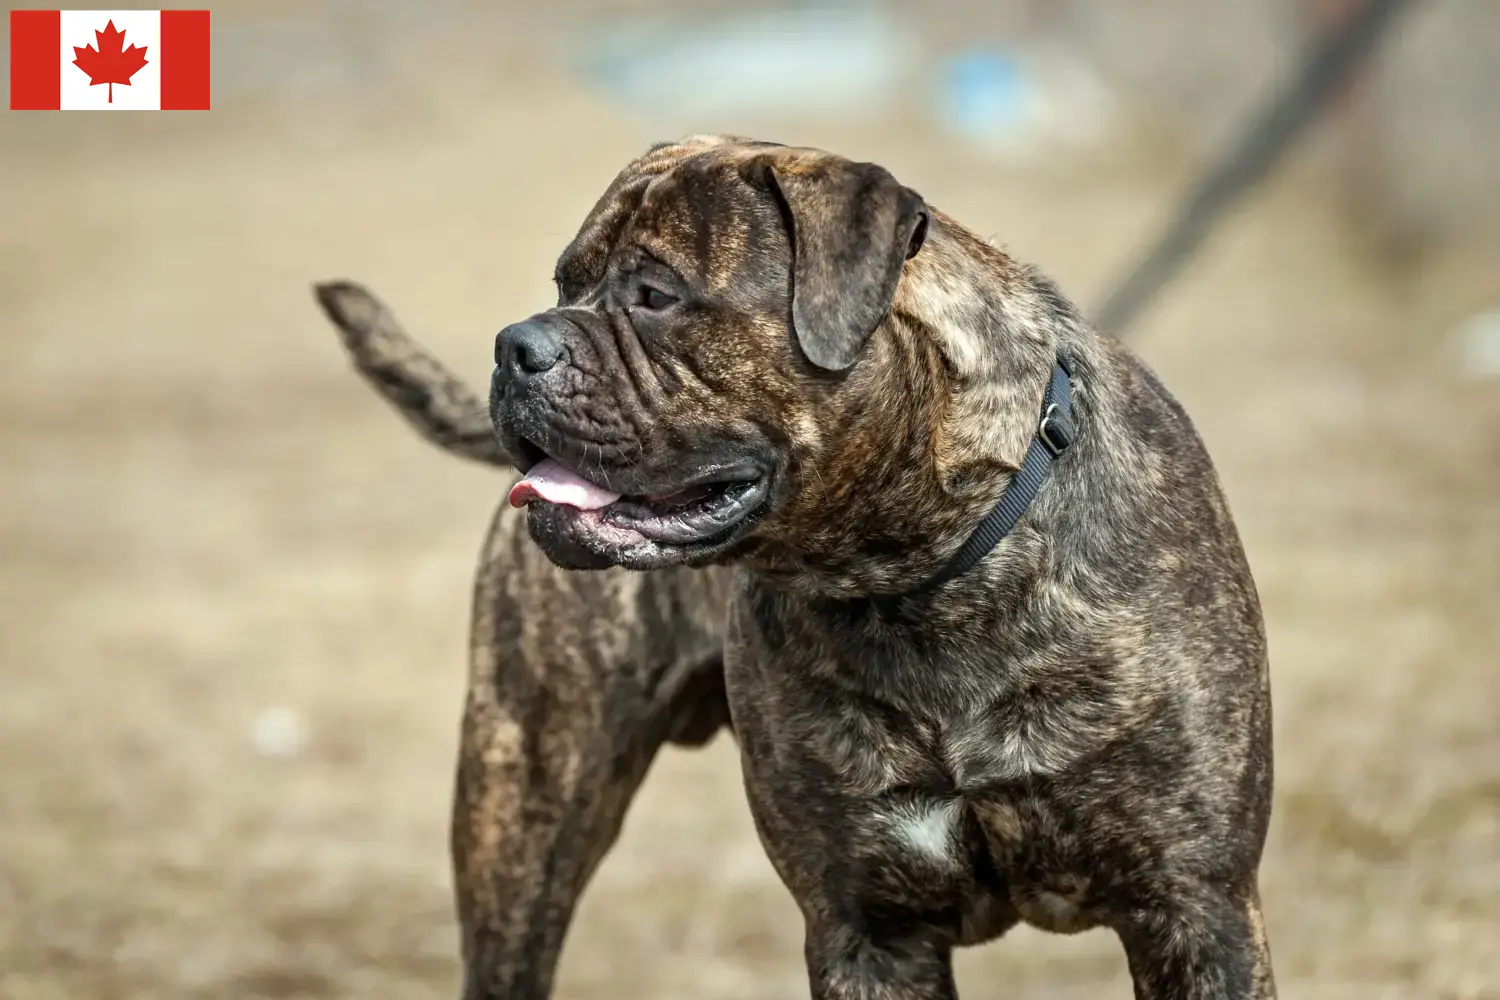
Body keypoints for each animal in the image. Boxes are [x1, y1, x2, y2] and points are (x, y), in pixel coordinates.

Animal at [316, 134, 1278, 1000]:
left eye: (655, 294)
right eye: (564, 284)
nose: (515, 344)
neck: (922, 582)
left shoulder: (1194, 909)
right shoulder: (867, 928)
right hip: (524, 812)